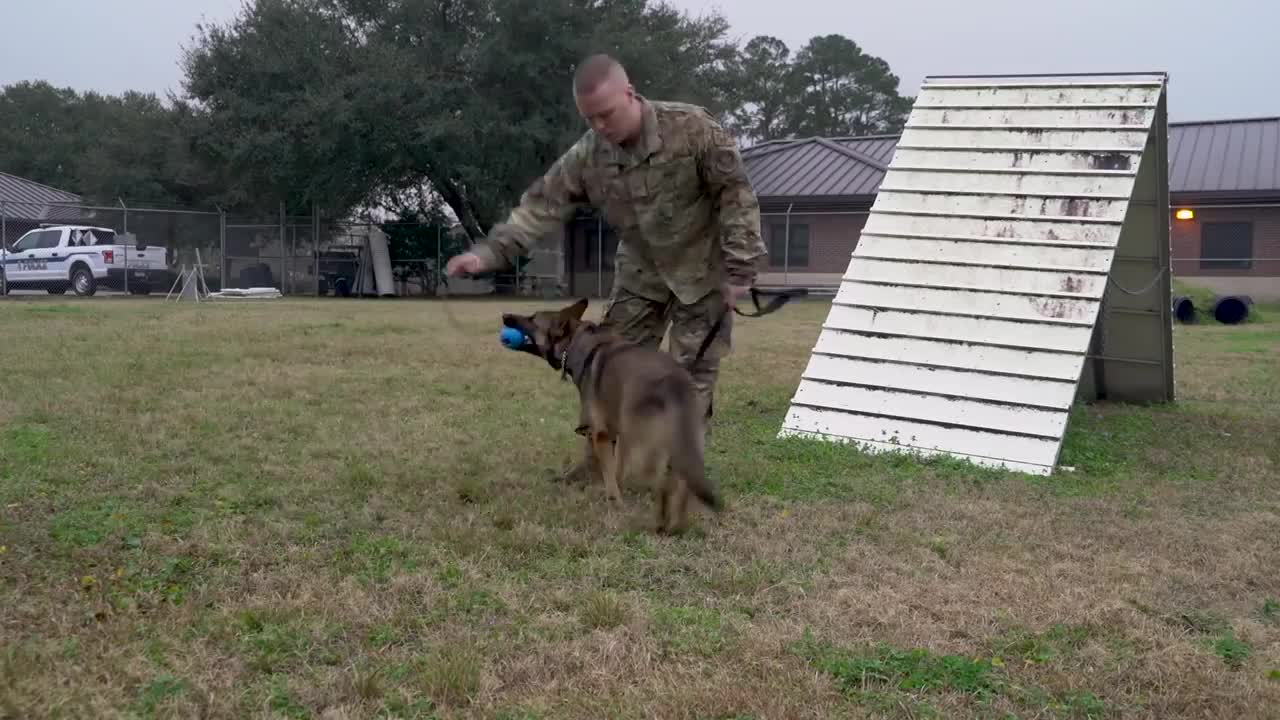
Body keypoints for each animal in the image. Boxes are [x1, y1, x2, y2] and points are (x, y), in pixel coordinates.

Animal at [496, 297, 721, 532]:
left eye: (532, 319)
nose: (505, 316)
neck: (576, 342)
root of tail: (674, 383)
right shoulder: (617, 436)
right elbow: (617, 469)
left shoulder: (601, 434)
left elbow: (610, 473)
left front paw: (613, 502)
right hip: (685, 445)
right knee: (682, 485)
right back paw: (676, 524)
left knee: (661, 484)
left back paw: (658, 521)